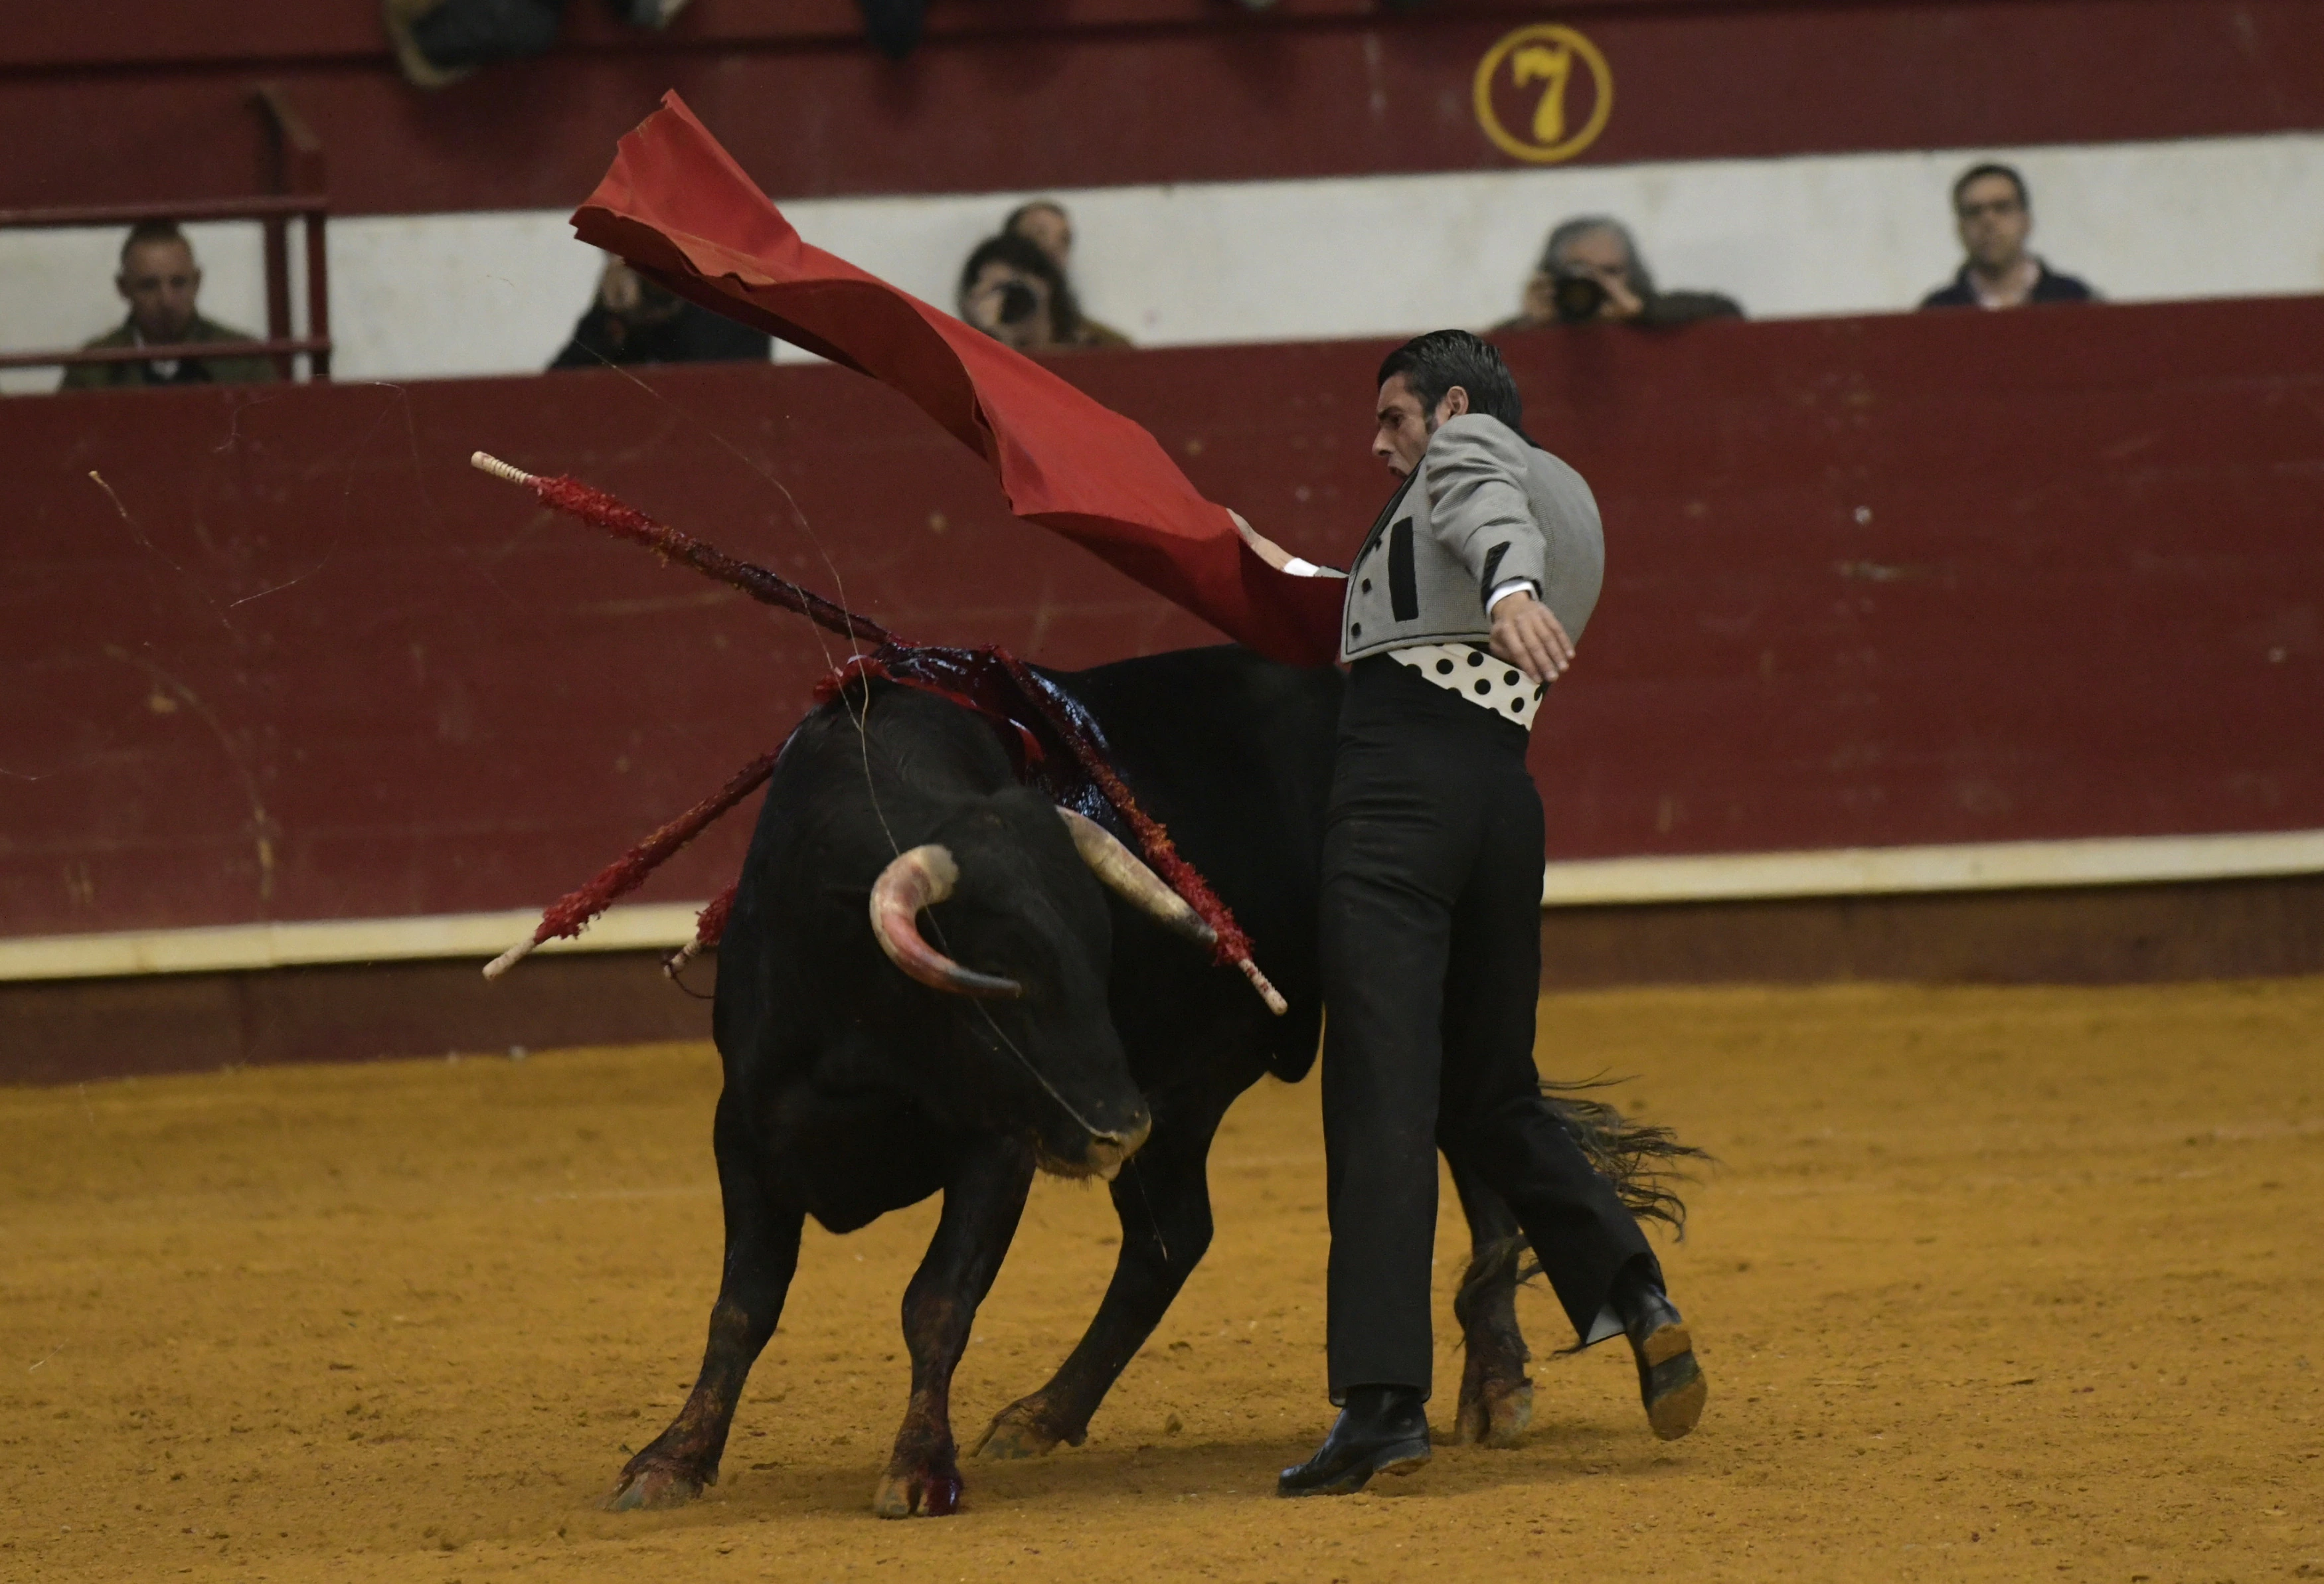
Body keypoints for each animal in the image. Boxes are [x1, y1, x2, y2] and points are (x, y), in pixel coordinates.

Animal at [600, 645, 1692, 1514]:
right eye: (1003, 979)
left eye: (1100, 958)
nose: (1116, 1125)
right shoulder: (745, 1129)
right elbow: (742, 1307)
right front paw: (672, 1460)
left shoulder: (999, 1142)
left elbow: (936, 1300)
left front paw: (920, 1469)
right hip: (1190, 1089)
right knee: (1178, 1236)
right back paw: (1046, 1411)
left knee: (1472, 1143)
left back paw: (1500, 1382)